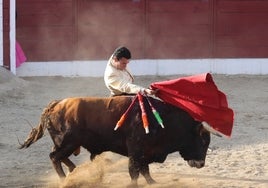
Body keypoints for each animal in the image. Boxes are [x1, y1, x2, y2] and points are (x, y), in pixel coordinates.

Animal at [19, 96, 211, 186]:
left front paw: (153, 183)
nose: (201, 164)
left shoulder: (145, 152)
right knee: (54, 157)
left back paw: (75, 172)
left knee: (59, 157)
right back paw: (65, 180)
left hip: (68, 144)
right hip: (67, 142)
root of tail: (56, 104)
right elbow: (134, 170)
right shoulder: (136, 149)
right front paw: (134, 185)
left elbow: (145, 170)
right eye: (203, 142)